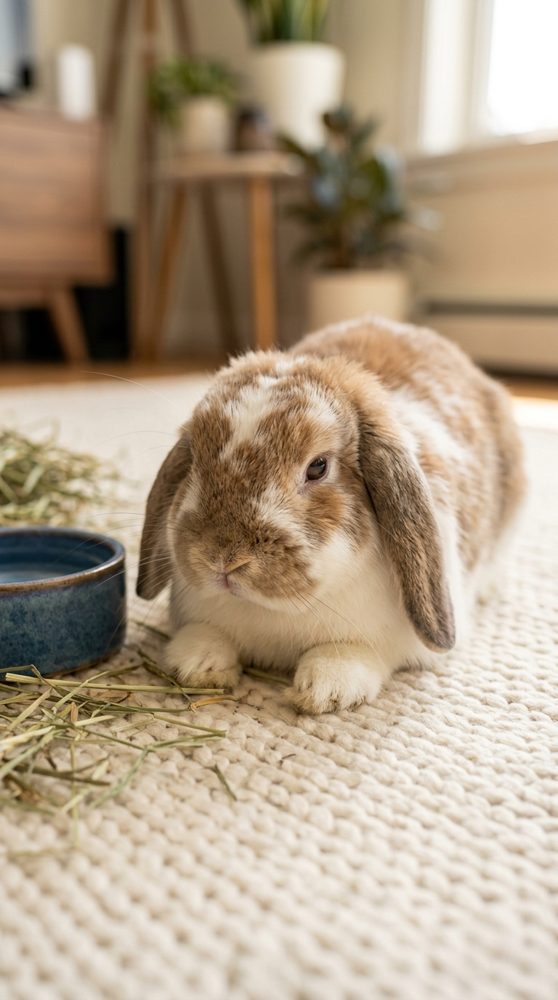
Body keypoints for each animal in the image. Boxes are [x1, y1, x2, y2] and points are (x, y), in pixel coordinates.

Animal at [137, 315, 525, 715]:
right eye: (196, 459)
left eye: (318, 467)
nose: (222, 559)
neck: (278, 612)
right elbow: (208, 636)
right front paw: (198, 664)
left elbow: (347, 654)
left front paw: (326, 688)